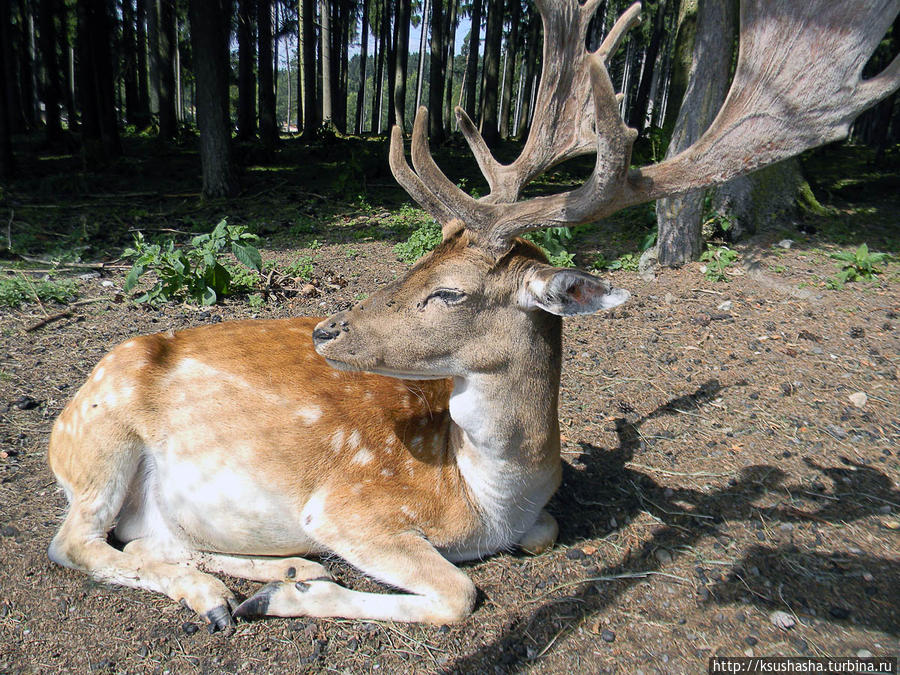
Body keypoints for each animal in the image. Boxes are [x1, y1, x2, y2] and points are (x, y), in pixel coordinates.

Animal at [45, 1, 896, 632]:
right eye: (416, 262)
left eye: (447, 289)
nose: (325, 329)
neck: (490, 498)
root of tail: (64, 411)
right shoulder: (353, 504)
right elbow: (460, 592)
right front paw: (287, 597)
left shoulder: (527, 520)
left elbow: (537, 541)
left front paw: (289, 582)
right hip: (102, 440)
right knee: (74, 543)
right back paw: (226, 595)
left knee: (148, 536)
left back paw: (272, 567)